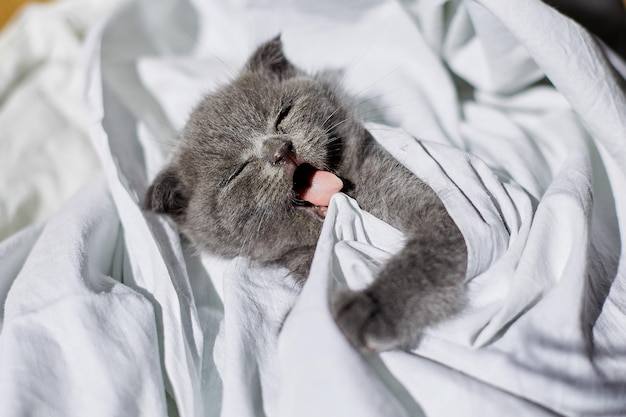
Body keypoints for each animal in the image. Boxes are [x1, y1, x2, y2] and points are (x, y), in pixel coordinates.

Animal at [144, 37, 466, 352]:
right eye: (236, 173)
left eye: (283, 114)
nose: (281, 149)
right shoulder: (305, 260)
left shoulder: (440, 205)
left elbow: (431, 254)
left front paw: (369, 308)